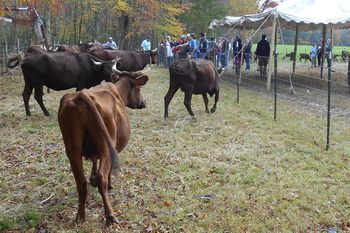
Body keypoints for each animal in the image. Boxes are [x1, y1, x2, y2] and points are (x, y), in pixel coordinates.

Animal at [58, 64, 148, 225]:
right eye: (139, 89)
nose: (144, 102)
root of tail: (81, 95)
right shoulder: (114, 148)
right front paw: (110, 185)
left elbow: (94, 161)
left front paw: (92, 177)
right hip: (106, 146)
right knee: (102, 177)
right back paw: (110, 215)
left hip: (72, 149)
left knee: (81, 182)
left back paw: (80, 216)